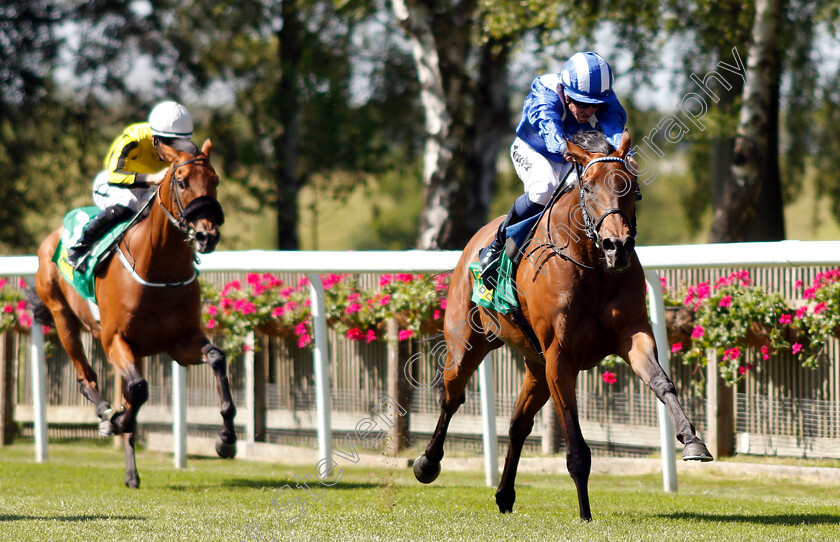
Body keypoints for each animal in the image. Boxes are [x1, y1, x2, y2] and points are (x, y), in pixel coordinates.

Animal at [34, 138, 235, 490]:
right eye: (182, 181)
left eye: (215, 180)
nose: (206, 235)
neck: (159, 268)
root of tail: (53, 235)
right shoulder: (114, 340)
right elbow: (138, 390)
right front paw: (117, 420)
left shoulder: (181, 342)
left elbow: (216, 358)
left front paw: (225, 439)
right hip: (63, 317)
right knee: (86, 377)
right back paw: (107, 415)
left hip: (136, 349)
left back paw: (131, 473)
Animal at [412, 131, 708, 524]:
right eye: (588, 187)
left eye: (632, 188)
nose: (617, 246)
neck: (593, 267)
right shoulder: (560, 357)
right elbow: (576, 444)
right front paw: (585, 512)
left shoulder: (632, 335)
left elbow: (663, 383)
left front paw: (693, 441)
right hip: (466, 345)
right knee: (451, 397)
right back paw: (427, 464)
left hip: (535, 365)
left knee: (518, 424)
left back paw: (505, 494)